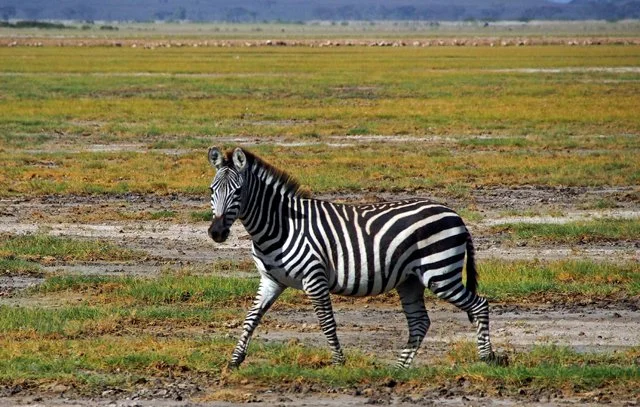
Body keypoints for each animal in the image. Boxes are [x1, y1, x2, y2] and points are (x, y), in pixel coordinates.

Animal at [207, 147, 506, 369]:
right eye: (212, 191)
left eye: (238, 192)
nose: (216, 232)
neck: (281, 225)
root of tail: (455, 215)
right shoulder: (271, 281)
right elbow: (251, 318)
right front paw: (234, 361)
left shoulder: (314, 278)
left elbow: (327, 322)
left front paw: (339, 363)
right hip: (411, 280)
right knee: (420, 322)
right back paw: (398, 370)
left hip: (440, 274)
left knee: (479, 305)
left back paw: (486, 357)